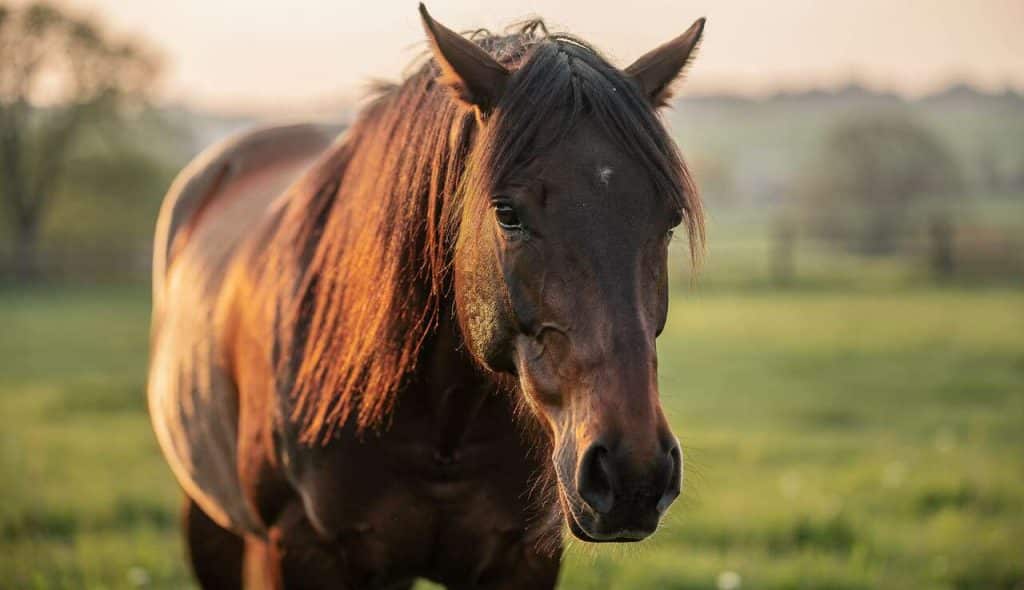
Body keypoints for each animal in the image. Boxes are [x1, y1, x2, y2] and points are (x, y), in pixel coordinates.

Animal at [148, 5, 705, 588]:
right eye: (507, 213)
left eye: (669, 220)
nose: (633, 472)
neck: (442, 429)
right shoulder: (299, 550)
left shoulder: (524, 558)